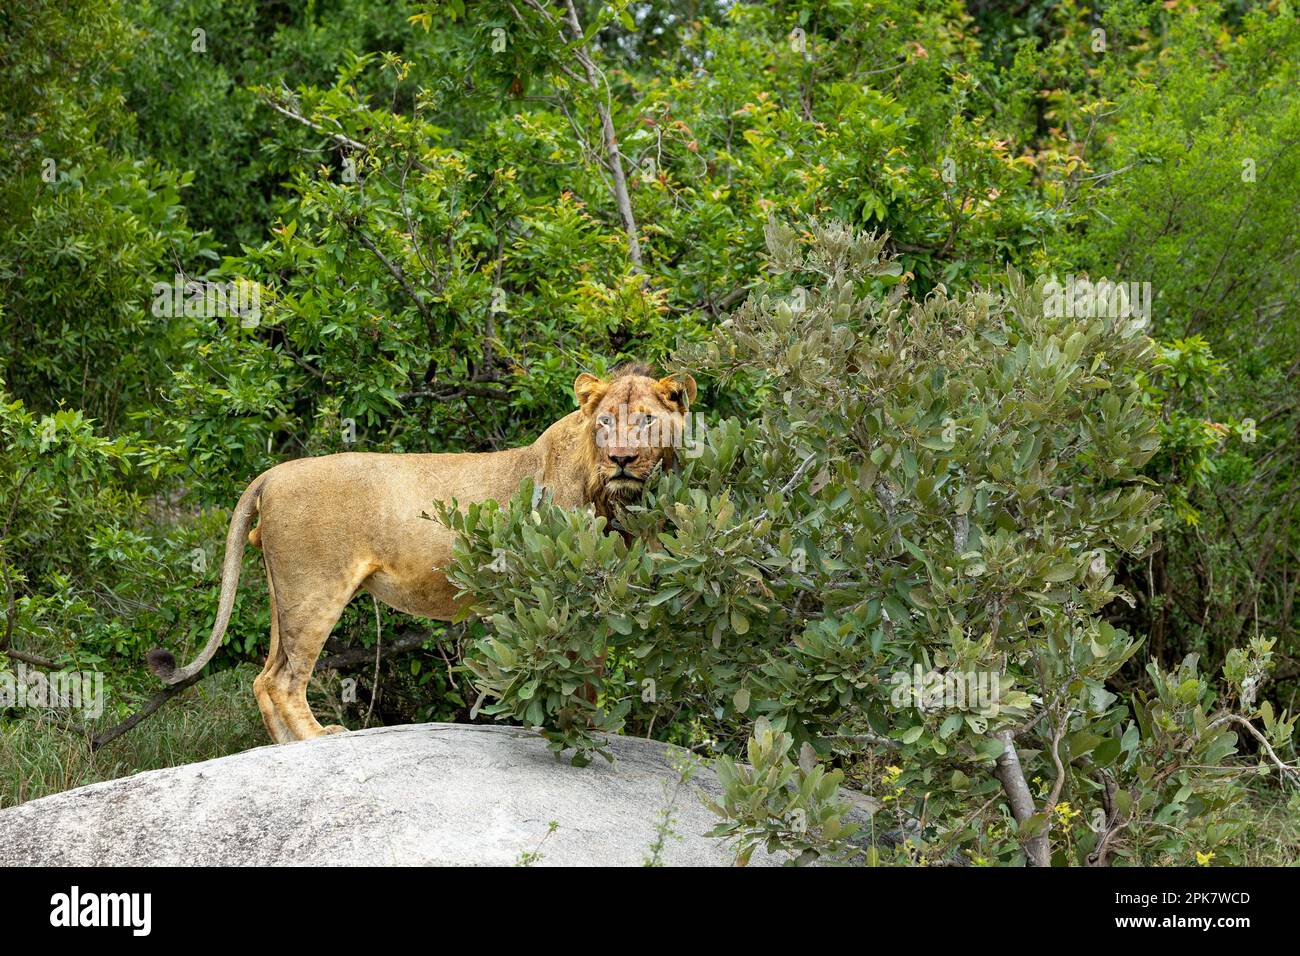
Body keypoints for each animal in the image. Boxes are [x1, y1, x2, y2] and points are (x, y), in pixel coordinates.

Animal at [146, 361, 696, 743]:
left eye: (647, 422)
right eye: (604, 422)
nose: (621, 459)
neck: (614, 499)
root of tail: (271, 474)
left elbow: (590, 674)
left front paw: (592, 728)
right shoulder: (549, 586)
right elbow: (562, 671)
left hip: (284, 592)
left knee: (263, 677)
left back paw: (287, 749)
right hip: (314, 588)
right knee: (283, 678)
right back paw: (318, 738)